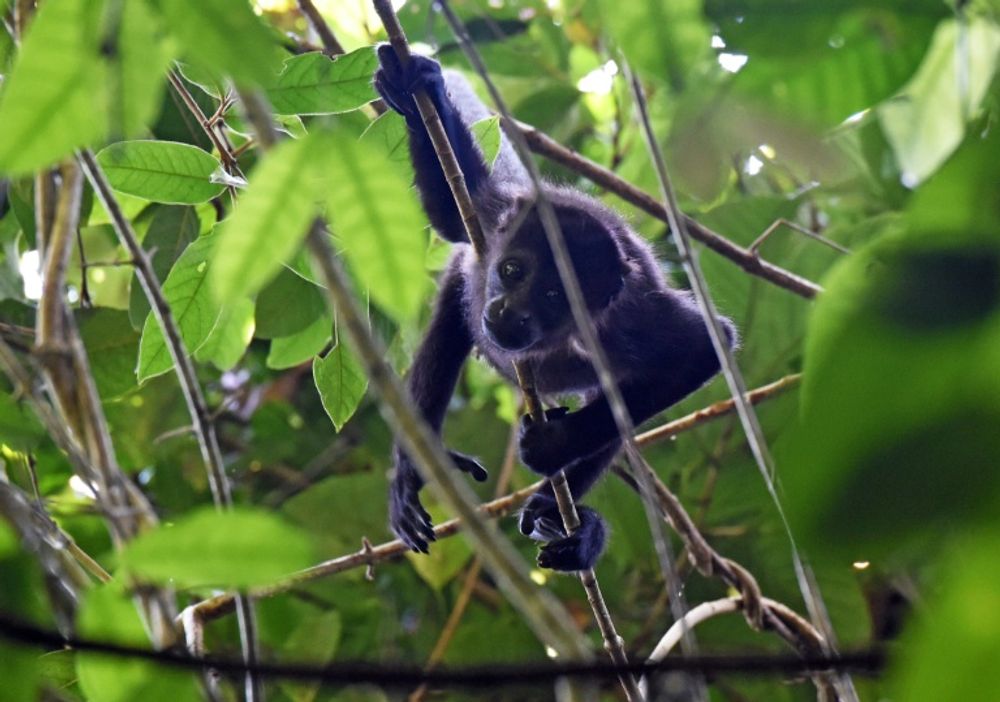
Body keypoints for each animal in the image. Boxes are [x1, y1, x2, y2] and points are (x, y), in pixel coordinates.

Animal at [376, 49, 736, 576]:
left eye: (553, 296)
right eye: (511, 270)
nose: (509, 311)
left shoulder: (631, 321)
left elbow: (707, 346)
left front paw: (555, 447)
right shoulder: (491, 220)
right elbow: (451, 213)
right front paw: (415, 83)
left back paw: (570, 522)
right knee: (447, 332)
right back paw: (415, 469)